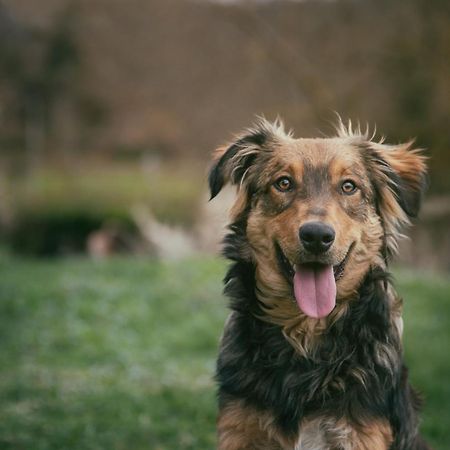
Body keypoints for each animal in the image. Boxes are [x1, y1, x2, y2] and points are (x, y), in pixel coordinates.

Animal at [209, 118, 430, 450]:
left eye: (349, 186)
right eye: (283, 183)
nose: (316, 236)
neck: (306, 334)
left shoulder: (361, 434)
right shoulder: (241, 429)